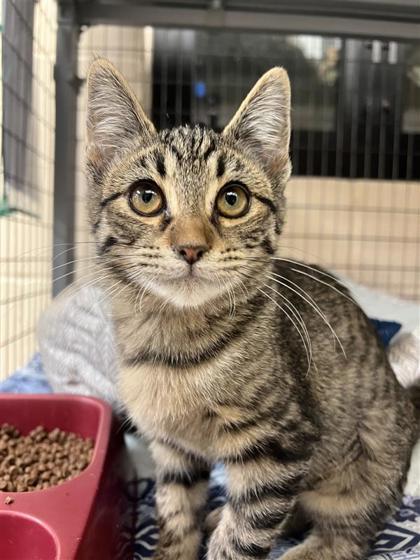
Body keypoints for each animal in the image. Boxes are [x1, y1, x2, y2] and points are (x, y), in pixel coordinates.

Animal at [84, 59, 416, 556]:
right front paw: (178, 542)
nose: (191, 247)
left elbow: (245, 535)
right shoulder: (173, 450)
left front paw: (229, 538)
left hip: (364, 464)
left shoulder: (280, 444)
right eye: (146, 196)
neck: (174, 342)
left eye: (232, 199)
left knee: (345, 536)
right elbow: (176, 513)